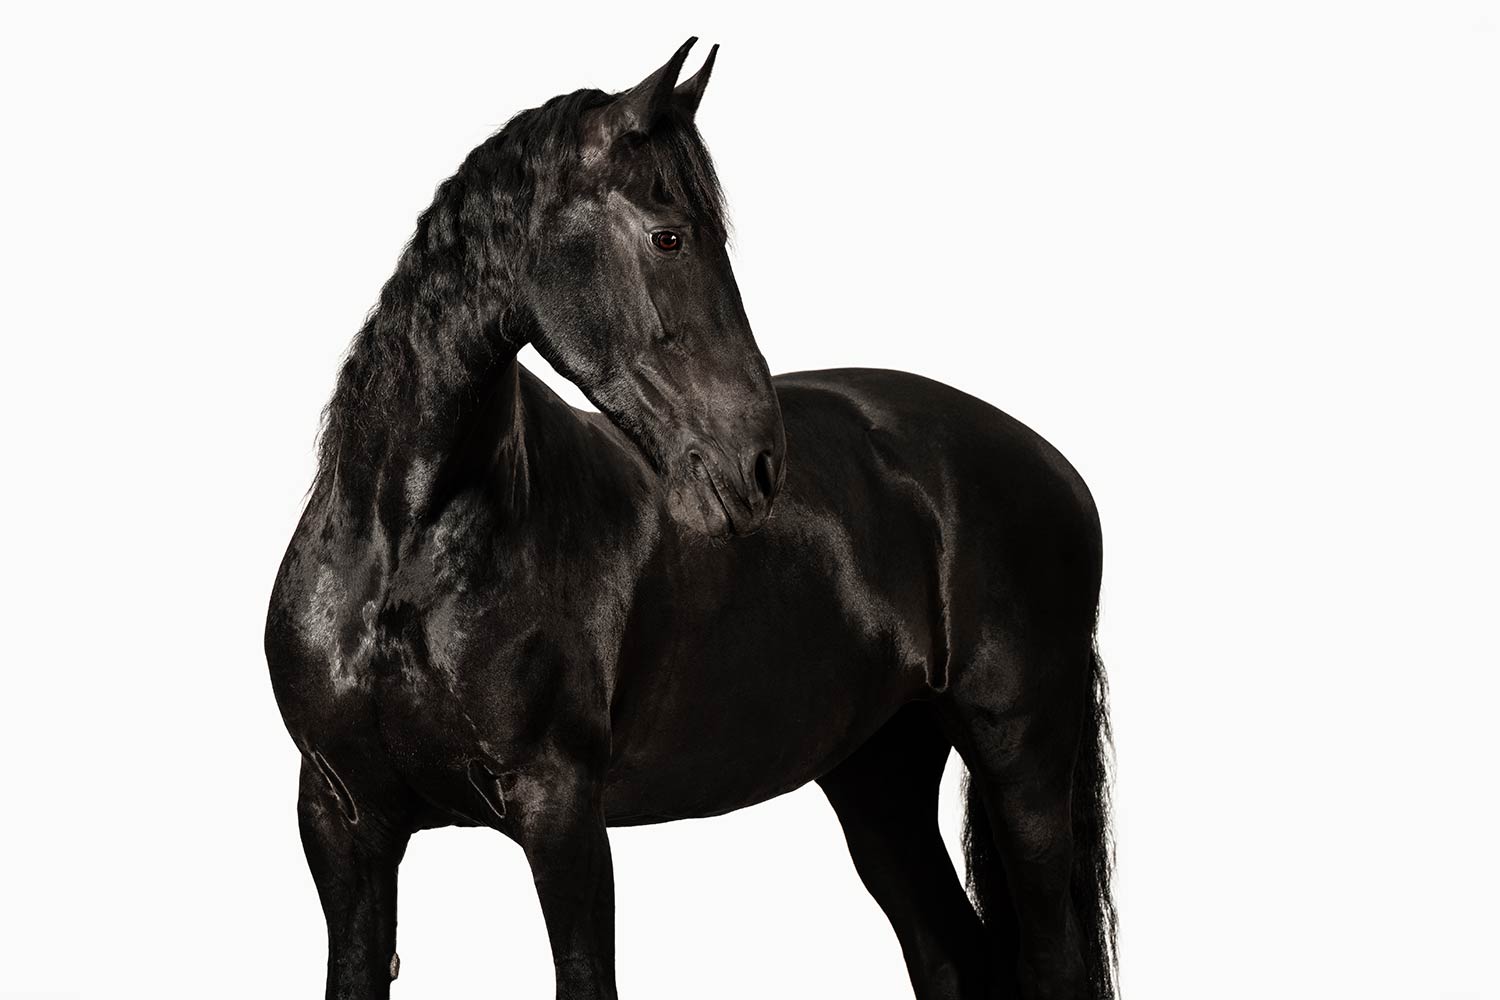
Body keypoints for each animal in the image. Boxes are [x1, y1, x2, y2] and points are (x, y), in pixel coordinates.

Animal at [265, 38, 1116, 1000]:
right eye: (668, 236)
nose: (760, 465)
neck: (406, 557)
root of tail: (1058, 471)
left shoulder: (561, 816)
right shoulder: (342, 821)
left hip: (1024, 763)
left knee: (1052, 959)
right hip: (878, 779)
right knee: (947, 953)